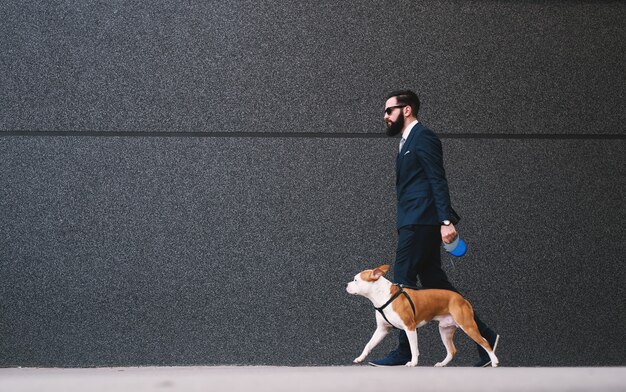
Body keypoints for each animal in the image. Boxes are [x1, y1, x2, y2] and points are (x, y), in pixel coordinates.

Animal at [346, 264, 498, 366]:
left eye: (356, 280)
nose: (346, 285)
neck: (382, 295)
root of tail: (462, 298)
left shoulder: (410, 327)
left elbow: (413, 348)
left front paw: (413, 362)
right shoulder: (382, 330)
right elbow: (368, 345)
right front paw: (360, 358)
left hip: (467, 325)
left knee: (484, 342)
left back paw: (494, 361)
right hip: (445, 330)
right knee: (452, 350)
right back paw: (442, 364)